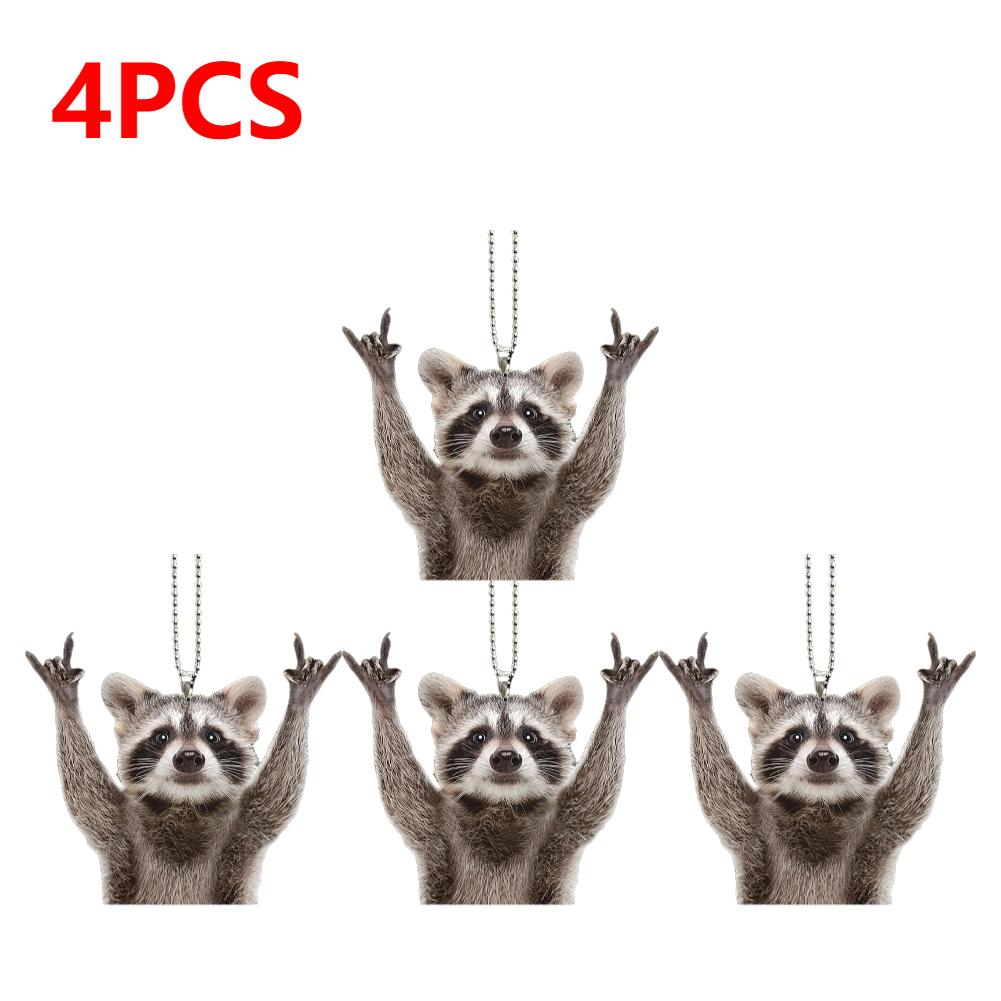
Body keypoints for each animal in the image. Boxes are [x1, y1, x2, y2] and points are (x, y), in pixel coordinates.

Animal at [26, 633, 337, 904]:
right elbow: (85, 792)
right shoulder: (119, 827)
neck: (185, 803)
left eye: (212, 736)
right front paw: (65, 702)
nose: (188, 757)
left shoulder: (245, 826)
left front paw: (299, 701)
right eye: (162, 736)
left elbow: (279, 792)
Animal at [342, 308, 658, 579]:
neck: (502, 479)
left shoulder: (562, 502)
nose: (506, 432)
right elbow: (402, 468)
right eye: (479, 412)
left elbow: (596, 466)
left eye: (529, 412)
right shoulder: (436, 503)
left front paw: (616, 376)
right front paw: (382, 377)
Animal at [344, 633, 654, 903]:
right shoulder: (436, 828)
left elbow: (595, 792)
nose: (505, 757)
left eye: (529, 736)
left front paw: (616, 701)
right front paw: (383, 702)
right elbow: (402, 792)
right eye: (478, 736)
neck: (502, 803)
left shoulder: (562, 827)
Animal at [663, 633, 975, 904]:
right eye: (795, 736)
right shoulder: (753, 828)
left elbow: (912, 791)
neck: (818, 803)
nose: (823, 757)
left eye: (846, 736)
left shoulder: (879, 827)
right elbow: (719, 792)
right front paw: (700, 702)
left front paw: (933, 701)